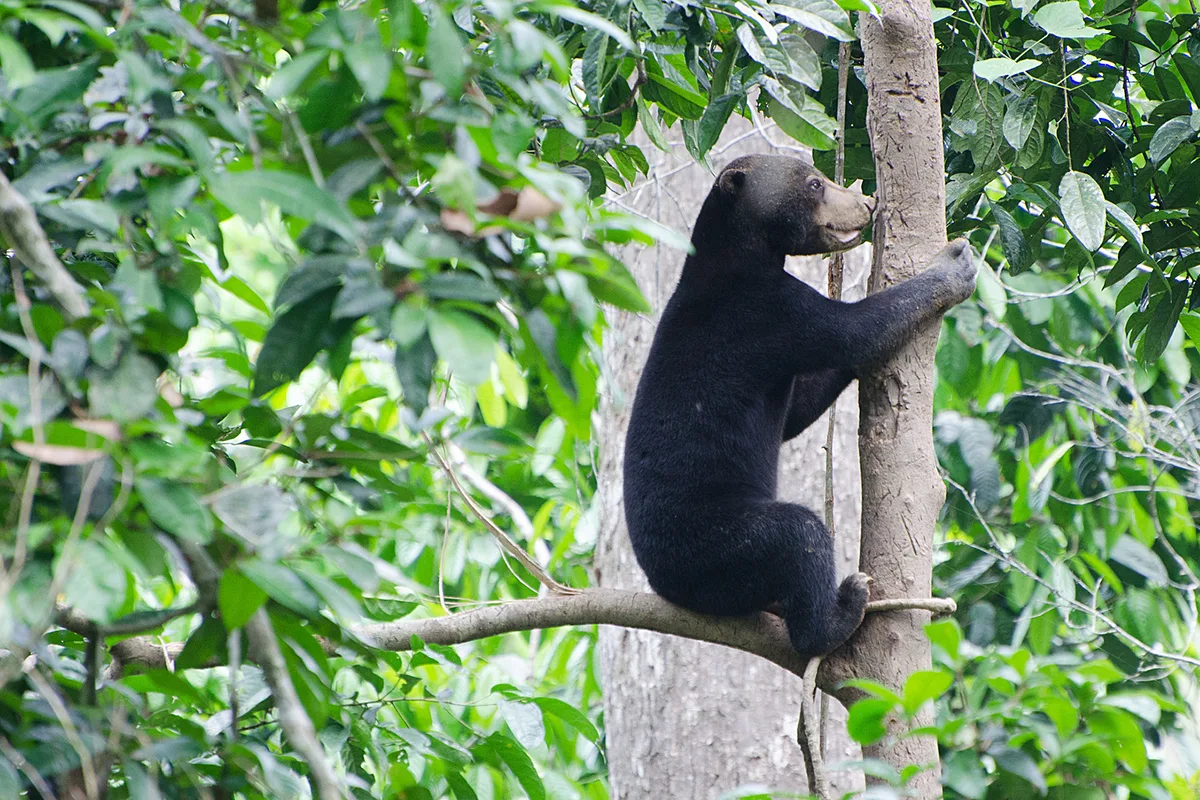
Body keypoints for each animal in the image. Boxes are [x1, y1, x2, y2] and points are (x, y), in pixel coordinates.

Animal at [623, 154, 977, 658]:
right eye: (814, 184)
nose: (867, 204)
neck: (736, 255)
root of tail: (662, 585)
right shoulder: (768, 312)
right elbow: (854, 330)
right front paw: (953, 266)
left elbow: (798, 408)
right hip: (710, 542)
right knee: (798, 535)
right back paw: (842, 609)